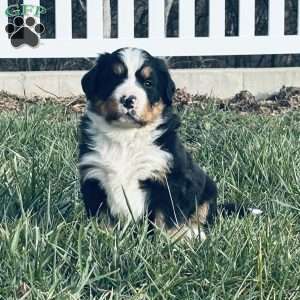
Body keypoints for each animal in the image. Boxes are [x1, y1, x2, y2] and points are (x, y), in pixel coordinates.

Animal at [79, 47, 260, 239]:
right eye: (113, 79)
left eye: (148, 83)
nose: (128, 99)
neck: (125, 138)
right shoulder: (94, 177)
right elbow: (102, 217)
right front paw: (101, 236)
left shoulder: (168, 179)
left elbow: (165, 218)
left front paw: (169, 240)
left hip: (207, 189)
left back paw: (193, 234)